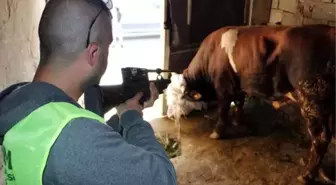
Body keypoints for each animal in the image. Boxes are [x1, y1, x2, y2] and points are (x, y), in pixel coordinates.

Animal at [182, 24, 336, 184]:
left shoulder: (223, 86)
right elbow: (239, 103)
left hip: (312, 103)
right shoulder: (238, 86)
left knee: (320, 140)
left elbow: (223, 111)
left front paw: (216, 134)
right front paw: (238, 122)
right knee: (328, 136)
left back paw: (307, 175)